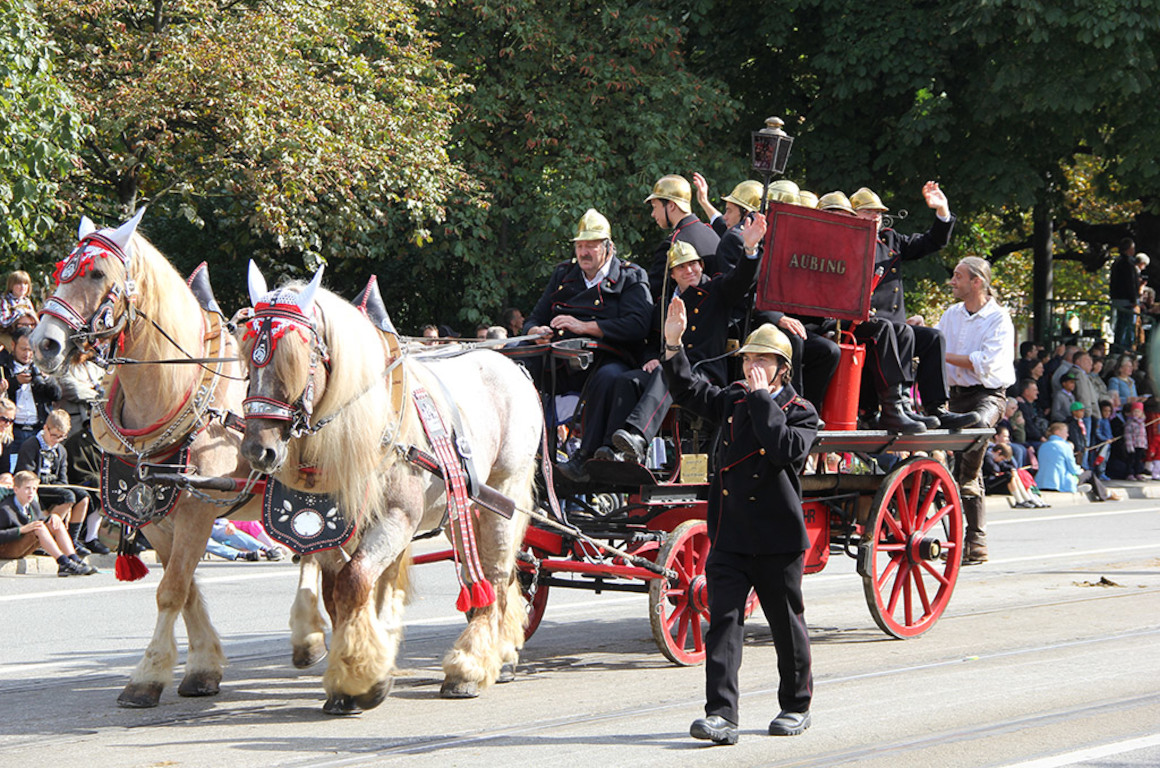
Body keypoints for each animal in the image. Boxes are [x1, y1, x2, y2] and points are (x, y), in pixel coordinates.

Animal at [242, 266, 540, 714]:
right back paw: (496, 654)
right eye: (247, 357)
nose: (258, 450)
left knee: (495, 571)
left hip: (505, 492)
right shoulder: (327, 531)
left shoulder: (397, 519)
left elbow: (354, 582)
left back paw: (470, 665)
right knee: (485, 576)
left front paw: (359, 678)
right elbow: (337, 592)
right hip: (461, 510)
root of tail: (511, 366)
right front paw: (357, 675)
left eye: (295, 357)